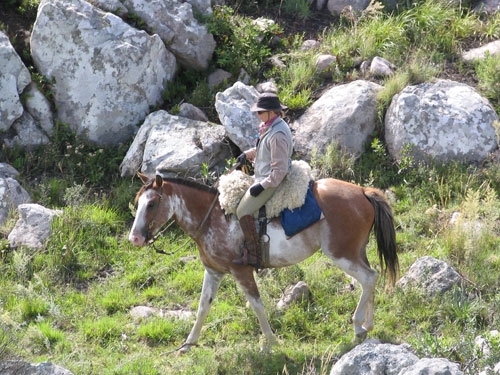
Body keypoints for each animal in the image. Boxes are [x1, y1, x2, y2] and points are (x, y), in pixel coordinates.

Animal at [129, 172, 398, 354]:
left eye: (151, 204)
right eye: (137, 202)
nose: (135, 238)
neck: (212, 217)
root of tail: (363, 191)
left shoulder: (241, 271)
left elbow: (257, 305)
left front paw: (270, 342)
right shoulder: (214, 272)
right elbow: (203, 306)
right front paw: (188, 344)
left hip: (342, 254)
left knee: (369, 278)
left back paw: (358, 326)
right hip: (356, 253)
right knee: (370, 279)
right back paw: (368, 324)